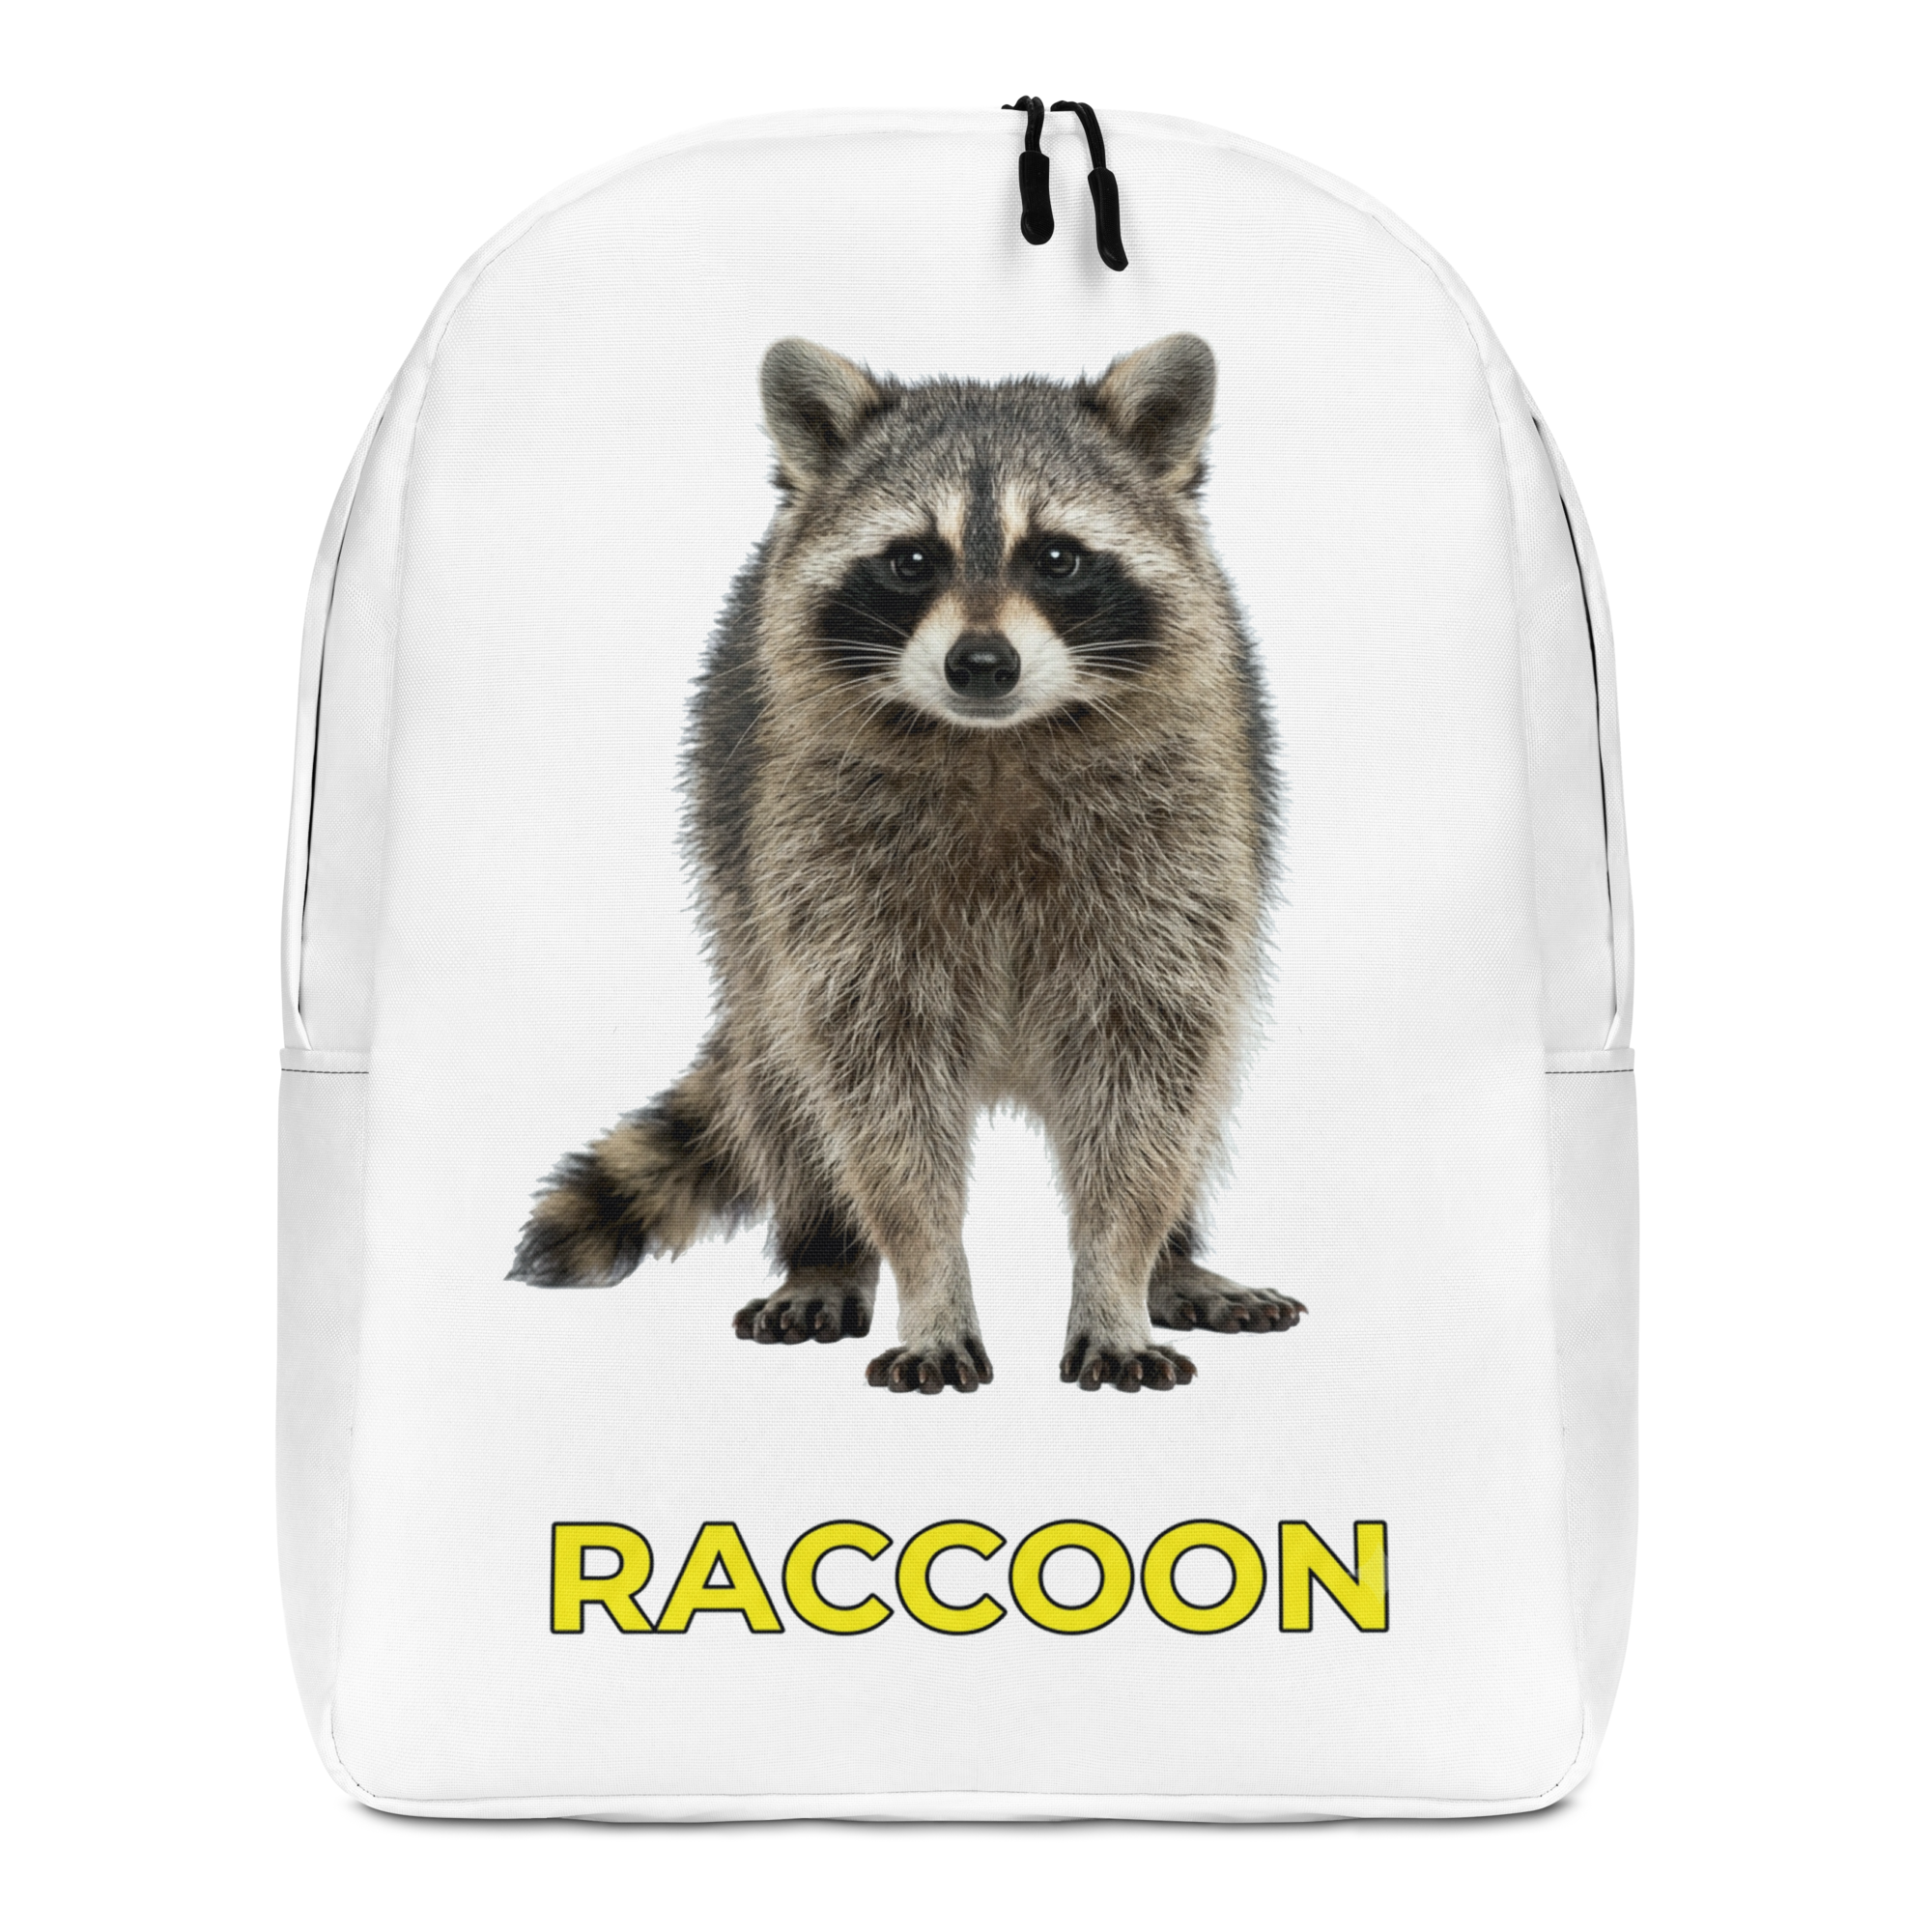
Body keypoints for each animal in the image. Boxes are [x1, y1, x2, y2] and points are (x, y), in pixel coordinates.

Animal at [508, 333, 1303, 1392]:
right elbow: (876, 1086)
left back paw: (1178, 1256)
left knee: (1200, 1084)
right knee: (783, 1077)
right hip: (742, 890)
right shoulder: (820, 853)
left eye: (1056, 556)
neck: (997, 739)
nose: (982, 663)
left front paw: (1118, 1273)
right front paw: (928, 1279)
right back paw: (823, 1248)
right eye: (911, 560)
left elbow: (1147, 1072)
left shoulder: (1180, 838)